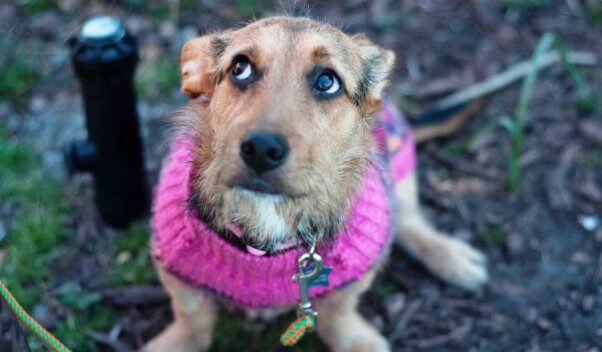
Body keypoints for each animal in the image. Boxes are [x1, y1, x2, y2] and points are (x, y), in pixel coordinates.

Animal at [146, 16, 488, 352]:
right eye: (240, 68)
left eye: (327, 81)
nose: (261, 149)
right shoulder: (176, 274)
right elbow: (192, 321)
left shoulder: (353, 278)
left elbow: (339, 314)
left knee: (408, 222)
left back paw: (453, 257)